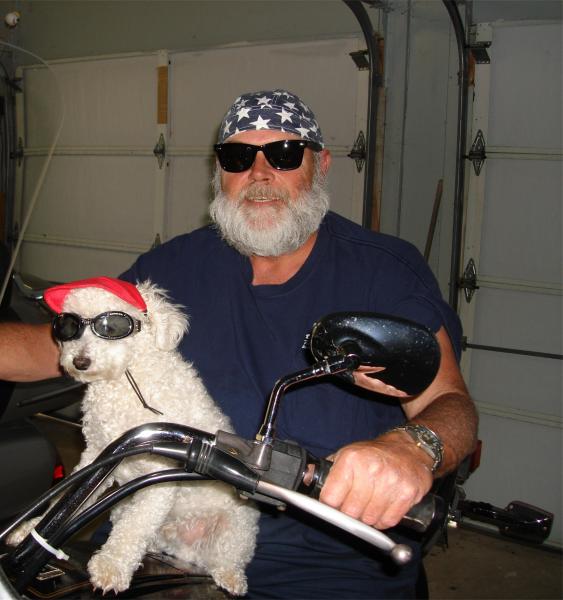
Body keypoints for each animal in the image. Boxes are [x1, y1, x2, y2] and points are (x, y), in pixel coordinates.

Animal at [8, 277, 259, 595]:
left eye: (112, 326)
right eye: (68, 325)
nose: (80, 362)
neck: (125, 381)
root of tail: (188, 556)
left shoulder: (161, 470)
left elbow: (135, 527)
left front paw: (112, 566)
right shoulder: (97, 454)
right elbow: (69, 498)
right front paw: (34, 528)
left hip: (236, 528)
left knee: (229, 558)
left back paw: (230, 577)